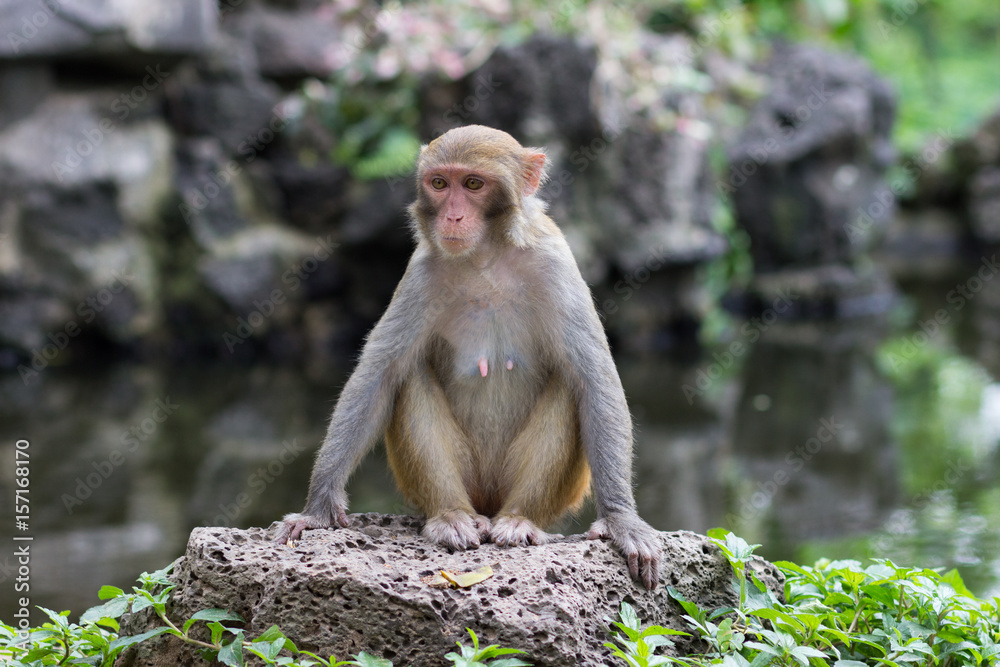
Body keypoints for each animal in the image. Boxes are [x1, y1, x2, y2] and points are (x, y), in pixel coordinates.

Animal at [274, 125, 661, 588]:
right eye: (440, 184)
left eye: (474, 184)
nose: (453, 217)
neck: (486, 256)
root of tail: (487, 504)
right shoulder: (421, 272)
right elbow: (378, 378)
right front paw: (317, 510)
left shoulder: (556, 262)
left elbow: (594, 380)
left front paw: (622, 519)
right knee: (410, 377)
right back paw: (451, 516)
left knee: (569, 387)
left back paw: (519, 520)